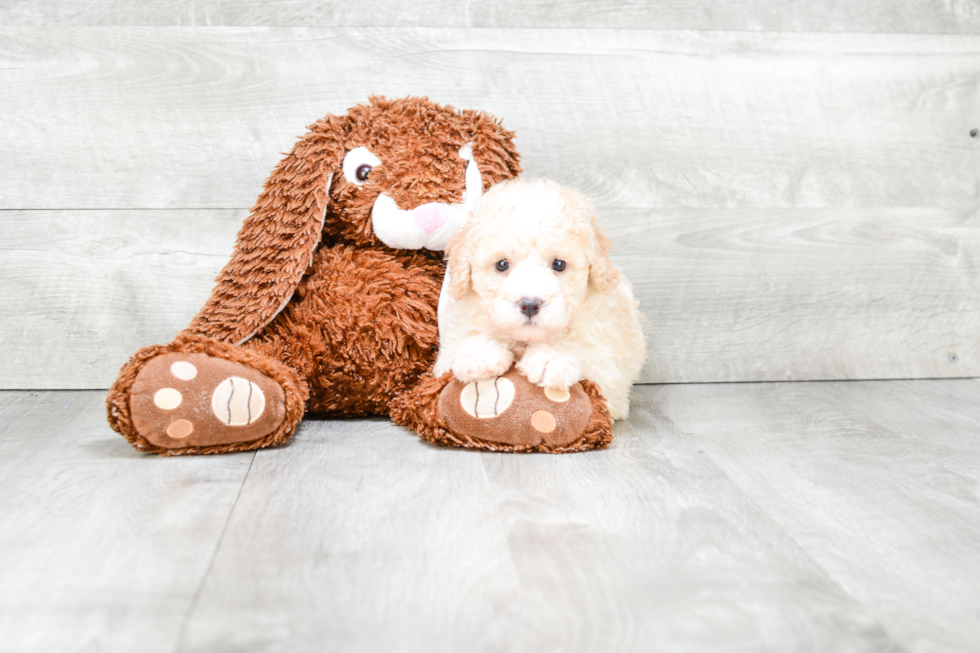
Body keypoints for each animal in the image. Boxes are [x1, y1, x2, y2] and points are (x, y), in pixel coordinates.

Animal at [434, 176, 648, 418]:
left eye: (559, 264)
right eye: (502, 264)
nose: (529, 305)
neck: (525, 340)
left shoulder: (611, 375)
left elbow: (584, 354)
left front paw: (551, 358)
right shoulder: (447, 350)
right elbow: (461, 346)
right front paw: (480, 355)